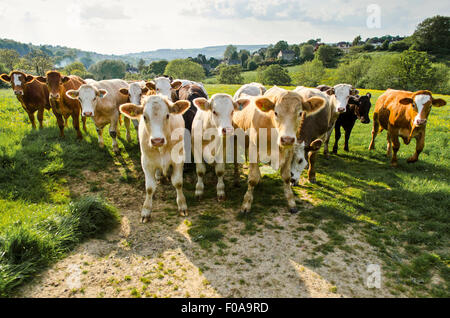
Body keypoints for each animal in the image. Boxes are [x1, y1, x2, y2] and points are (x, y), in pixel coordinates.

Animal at [232, 86, 326, 214]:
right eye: (276, 112)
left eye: (300, 113)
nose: (287, 139)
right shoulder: (253, 149)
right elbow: (252, 179)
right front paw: (246, 204)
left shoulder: (289, 151)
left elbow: (286, 177)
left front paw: (291, 203)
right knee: (236, 161)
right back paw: (236, 179)